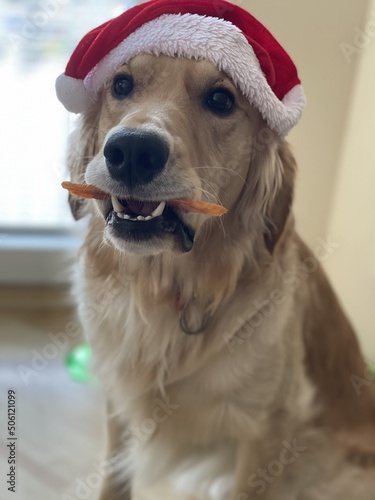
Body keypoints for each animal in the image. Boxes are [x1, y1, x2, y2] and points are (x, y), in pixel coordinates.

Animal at [64, 15, 375, 500]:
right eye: (121, 84)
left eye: (221, 99)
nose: (132, 150)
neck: (166, 291)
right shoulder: (118, 400)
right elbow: (114, 479)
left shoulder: (267, 432)